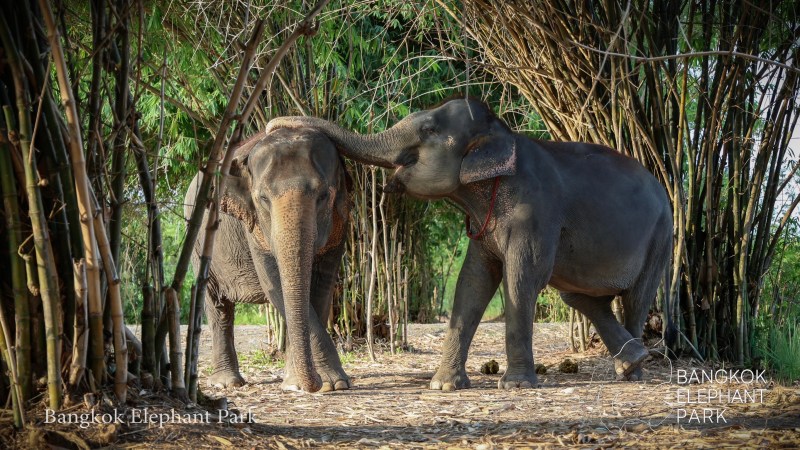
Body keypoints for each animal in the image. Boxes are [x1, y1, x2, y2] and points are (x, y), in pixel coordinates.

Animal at [184, 127, 352, 393]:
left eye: (324, 195)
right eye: (263, 198)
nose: (312, 383)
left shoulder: (341, 220)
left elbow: (322, 286)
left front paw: (318, 383)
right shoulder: (252, 225)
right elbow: (274, 283)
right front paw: (325, 383)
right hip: (198, 241)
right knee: (217, 304)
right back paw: (227, 383)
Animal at [266, 97, 675, 390]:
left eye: (428, 128)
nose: (274, 124)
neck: (504, 137)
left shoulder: (535, 211)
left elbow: (521, 279)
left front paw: (515, 385)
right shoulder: (484, 225)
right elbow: (473, 282)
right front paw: (443, 386)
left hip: (661, 236)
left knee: (635, 297)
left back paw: (634, 372)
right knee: (578, 295)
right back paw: (632, 359)